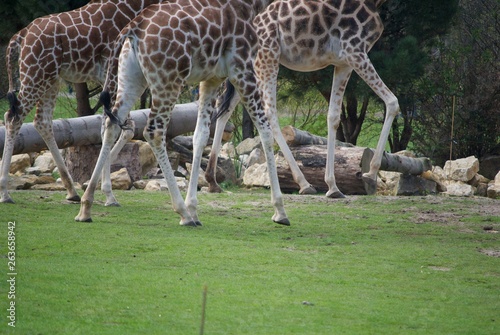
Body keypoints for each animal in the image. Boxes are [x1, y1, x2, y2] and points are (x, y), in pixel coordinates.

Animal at [0, 0, 160, 205]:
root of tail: (21, 35)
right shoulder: (112, 77)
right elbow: (115, 127)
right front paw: (106, 191)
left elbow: (125, 129)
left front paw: (101, 186)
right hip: (35, 75)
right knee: (13, 117)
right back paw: (5, 193)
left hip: (51, 80)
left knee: (41, 121)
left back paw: (71, 191)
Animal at [76, 0, 292, 228]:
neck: (251, 5)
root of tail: (133, 28)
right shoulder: (242, 69)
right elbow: (265, 131)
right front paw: (280, 211)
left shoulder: (212, 78)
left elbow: (200, 136)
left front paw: (194, 209)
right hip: (167, 80)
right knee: (153, 131)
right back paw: (182, 213)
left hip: (131, 78)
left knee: (111, 124)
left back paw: (86, 205)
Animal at [206, 0, 394, 197]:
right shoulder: (355, 51)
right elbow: (392, 102)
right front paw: (371, 173)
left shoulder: (343, 63)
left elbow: (333, 117)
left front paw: (333, 186)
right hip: (267, 57)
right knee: (268, 111)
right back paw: (304, 183)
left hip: (246, 65)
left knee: (224, 108)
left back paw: (212, 181)